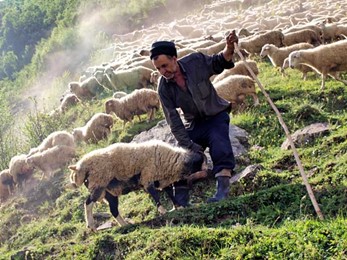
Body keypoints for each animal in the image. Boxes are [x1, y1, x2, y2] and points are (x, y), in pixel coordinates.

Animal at [69, 140, 208, 230]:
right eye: (198, 166)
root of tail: (79, 167)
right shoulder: (147, 179)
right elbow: (156, 197)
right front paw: (164, 211)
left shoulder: (161, 181)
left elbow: (170, 194)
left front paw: (178, 207)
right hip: (98, 185)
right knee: (88, 203)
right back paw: (91, 226)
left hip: (110, 193)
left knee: (113, 210)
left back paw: (125, 225)